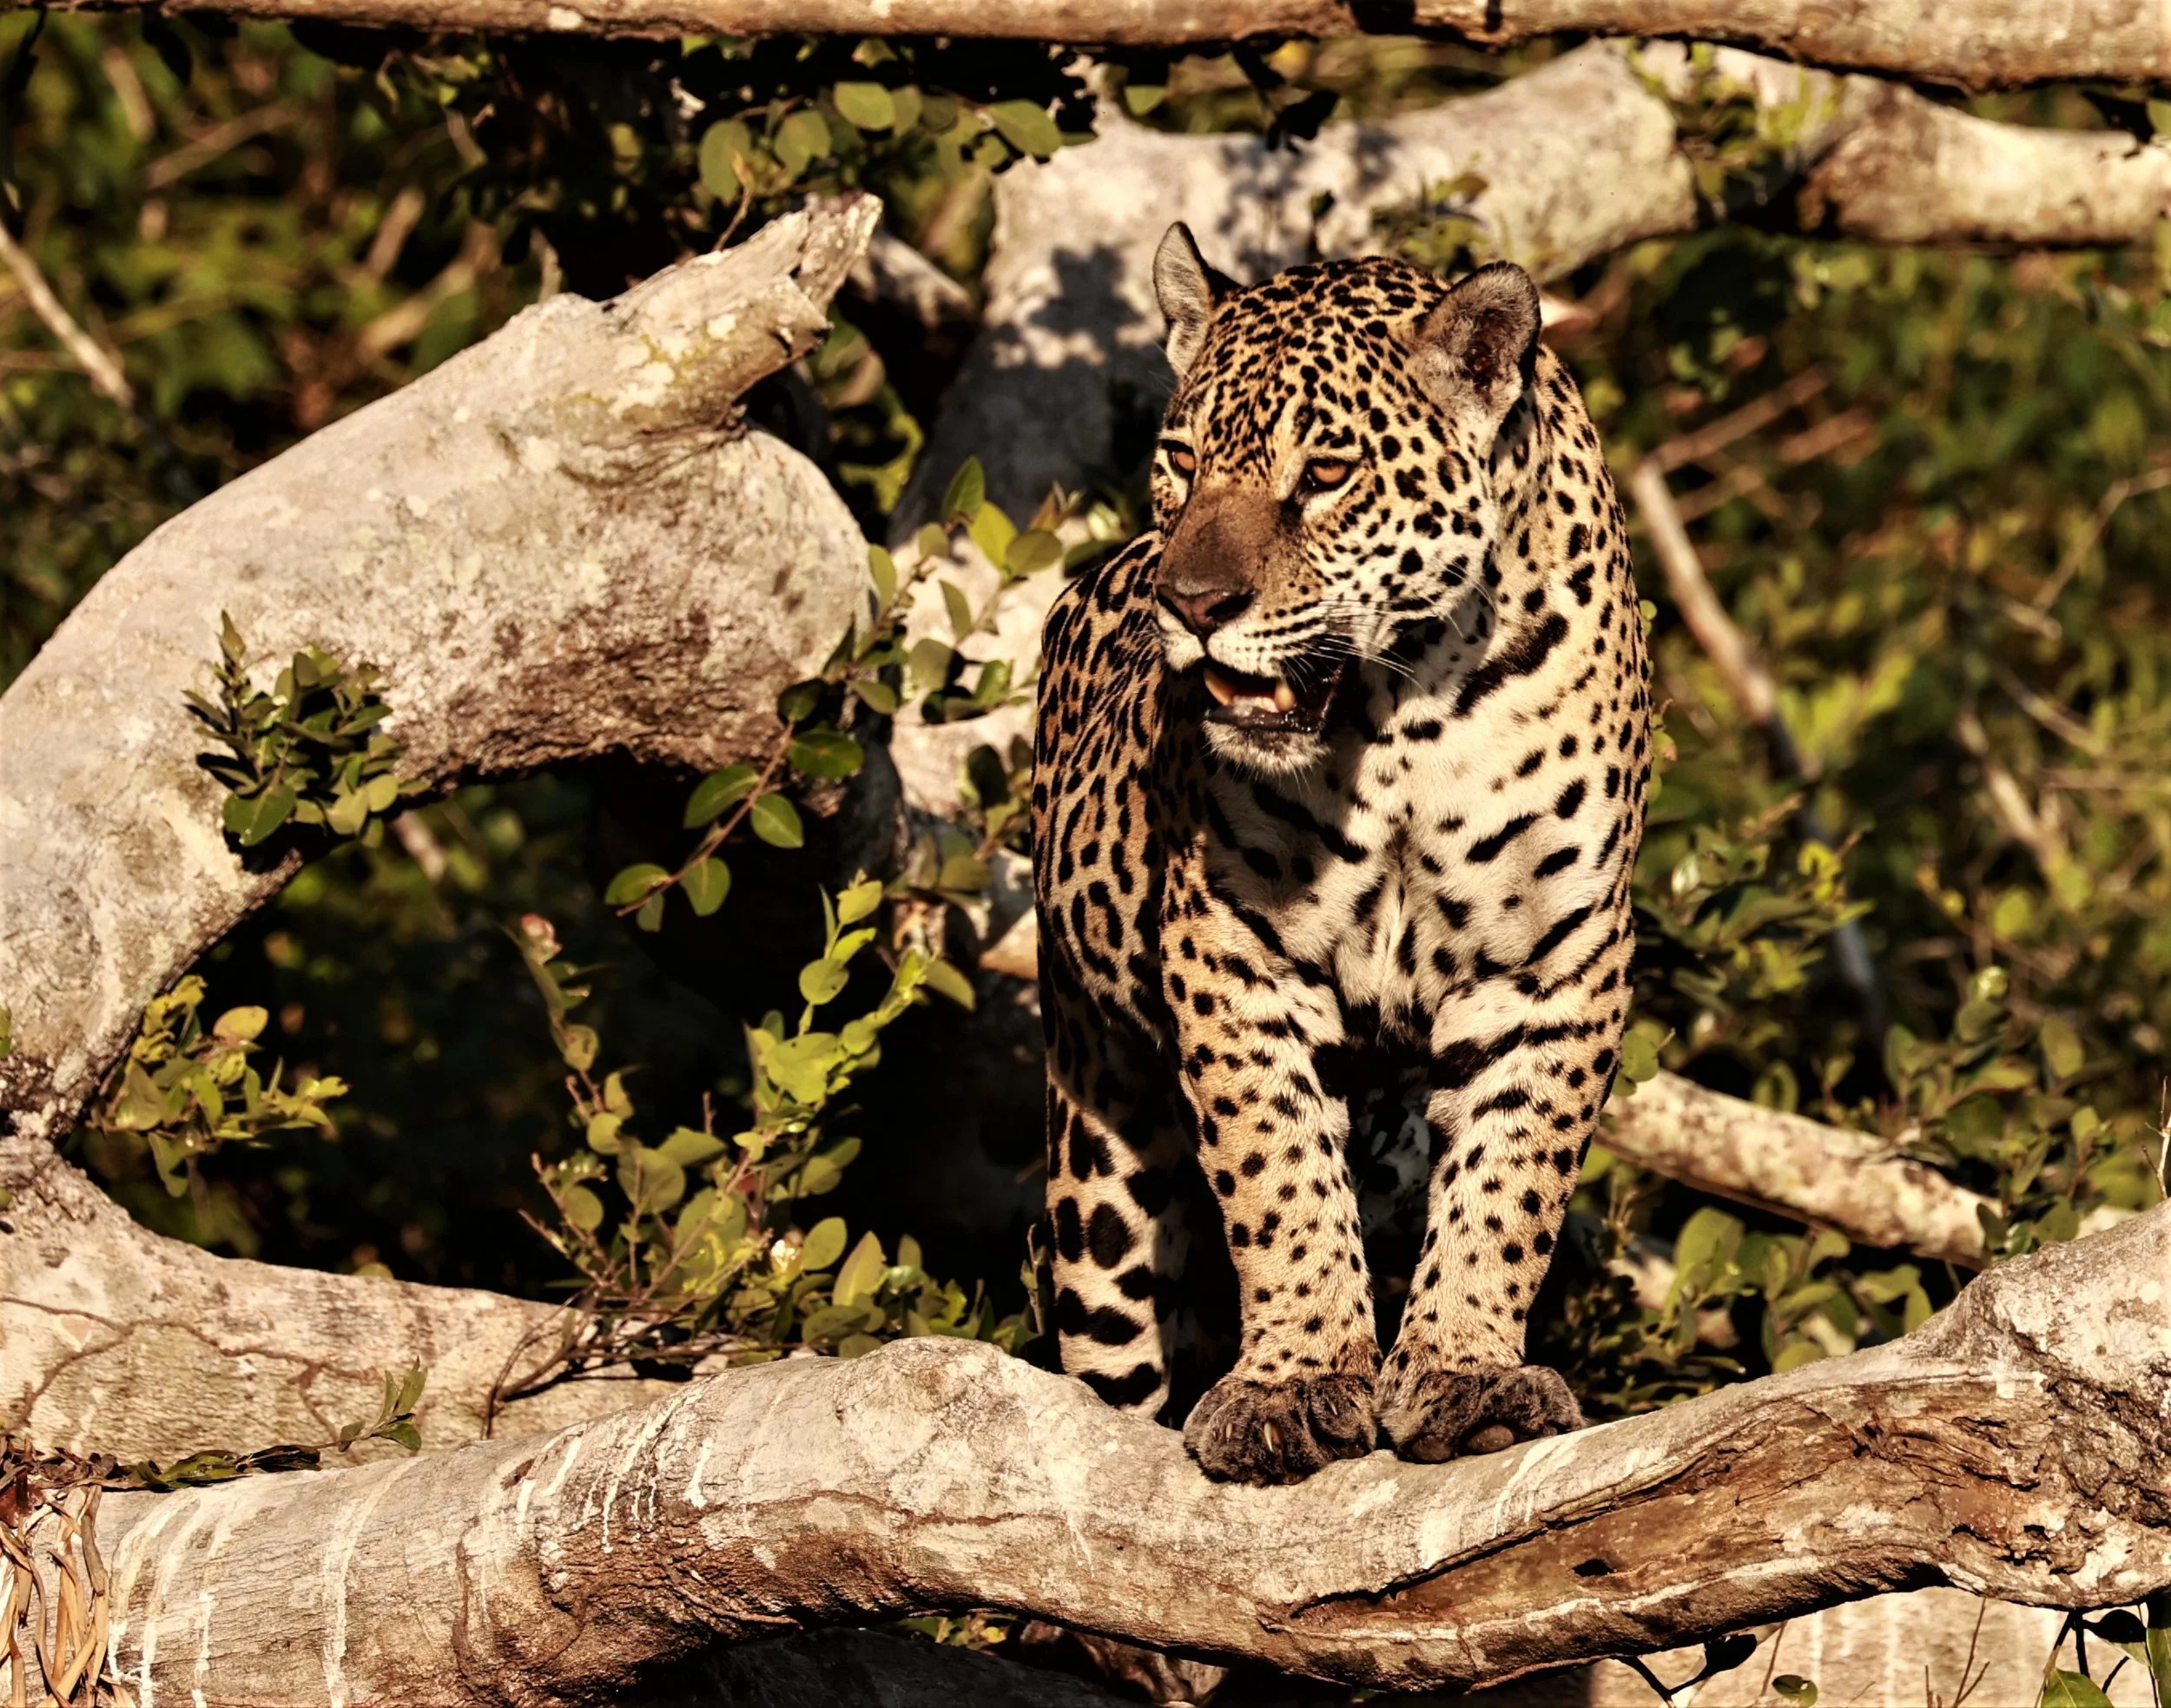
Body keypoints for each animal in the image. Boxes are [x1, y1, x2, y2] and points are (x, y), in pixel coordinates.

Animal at [1030, 223, 1652, 1485]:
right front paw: (1296, 1382)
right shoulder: (1234, 949)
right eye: (1181, 462)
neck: (1408, 710)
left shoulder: (1559, 959)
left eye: (1322, 474)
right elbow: (1275, 1174)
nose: (1193, 603)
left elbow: (1512, 1176)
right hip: (1097, 1154)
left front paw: (1465, 1371)